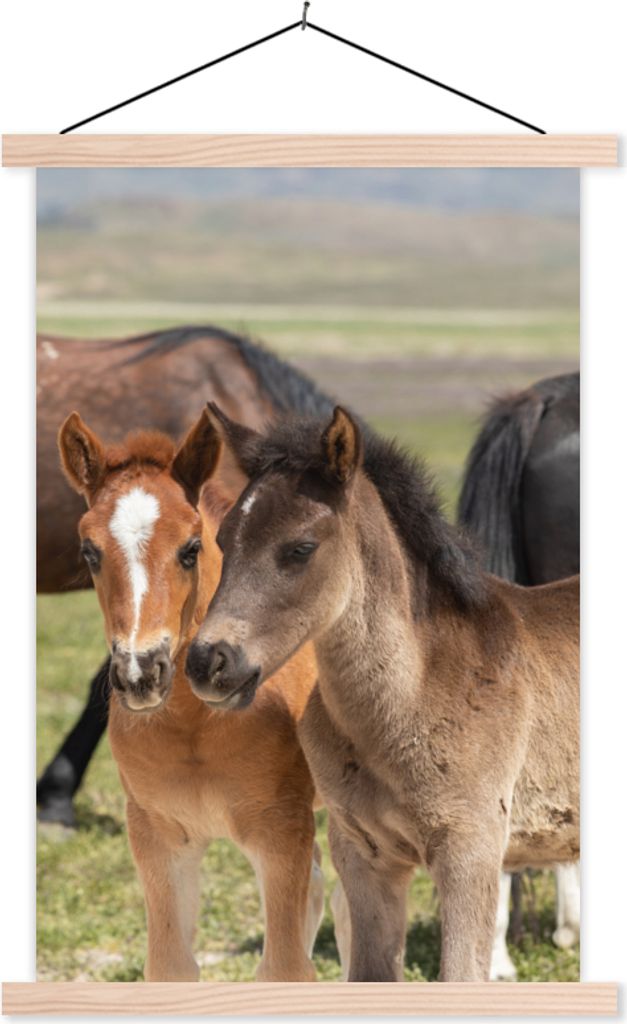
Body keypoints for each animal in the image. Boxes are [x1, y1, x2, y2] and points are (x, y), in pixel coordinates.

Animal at [56, 408, 325, 981]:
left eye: (191, 549)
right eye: (90, 552)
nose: (141, 671)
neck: (194, 723)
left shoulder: (282, 831)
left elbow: (285, 969)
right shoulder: (158, 837)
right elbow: (170, 966)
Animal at [186, 403, 580, 982]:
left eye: (300, 548)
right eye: (221, 541)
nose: (208, 661)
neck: (406, 702)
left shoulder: (471, 851)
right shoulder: (363, 854)